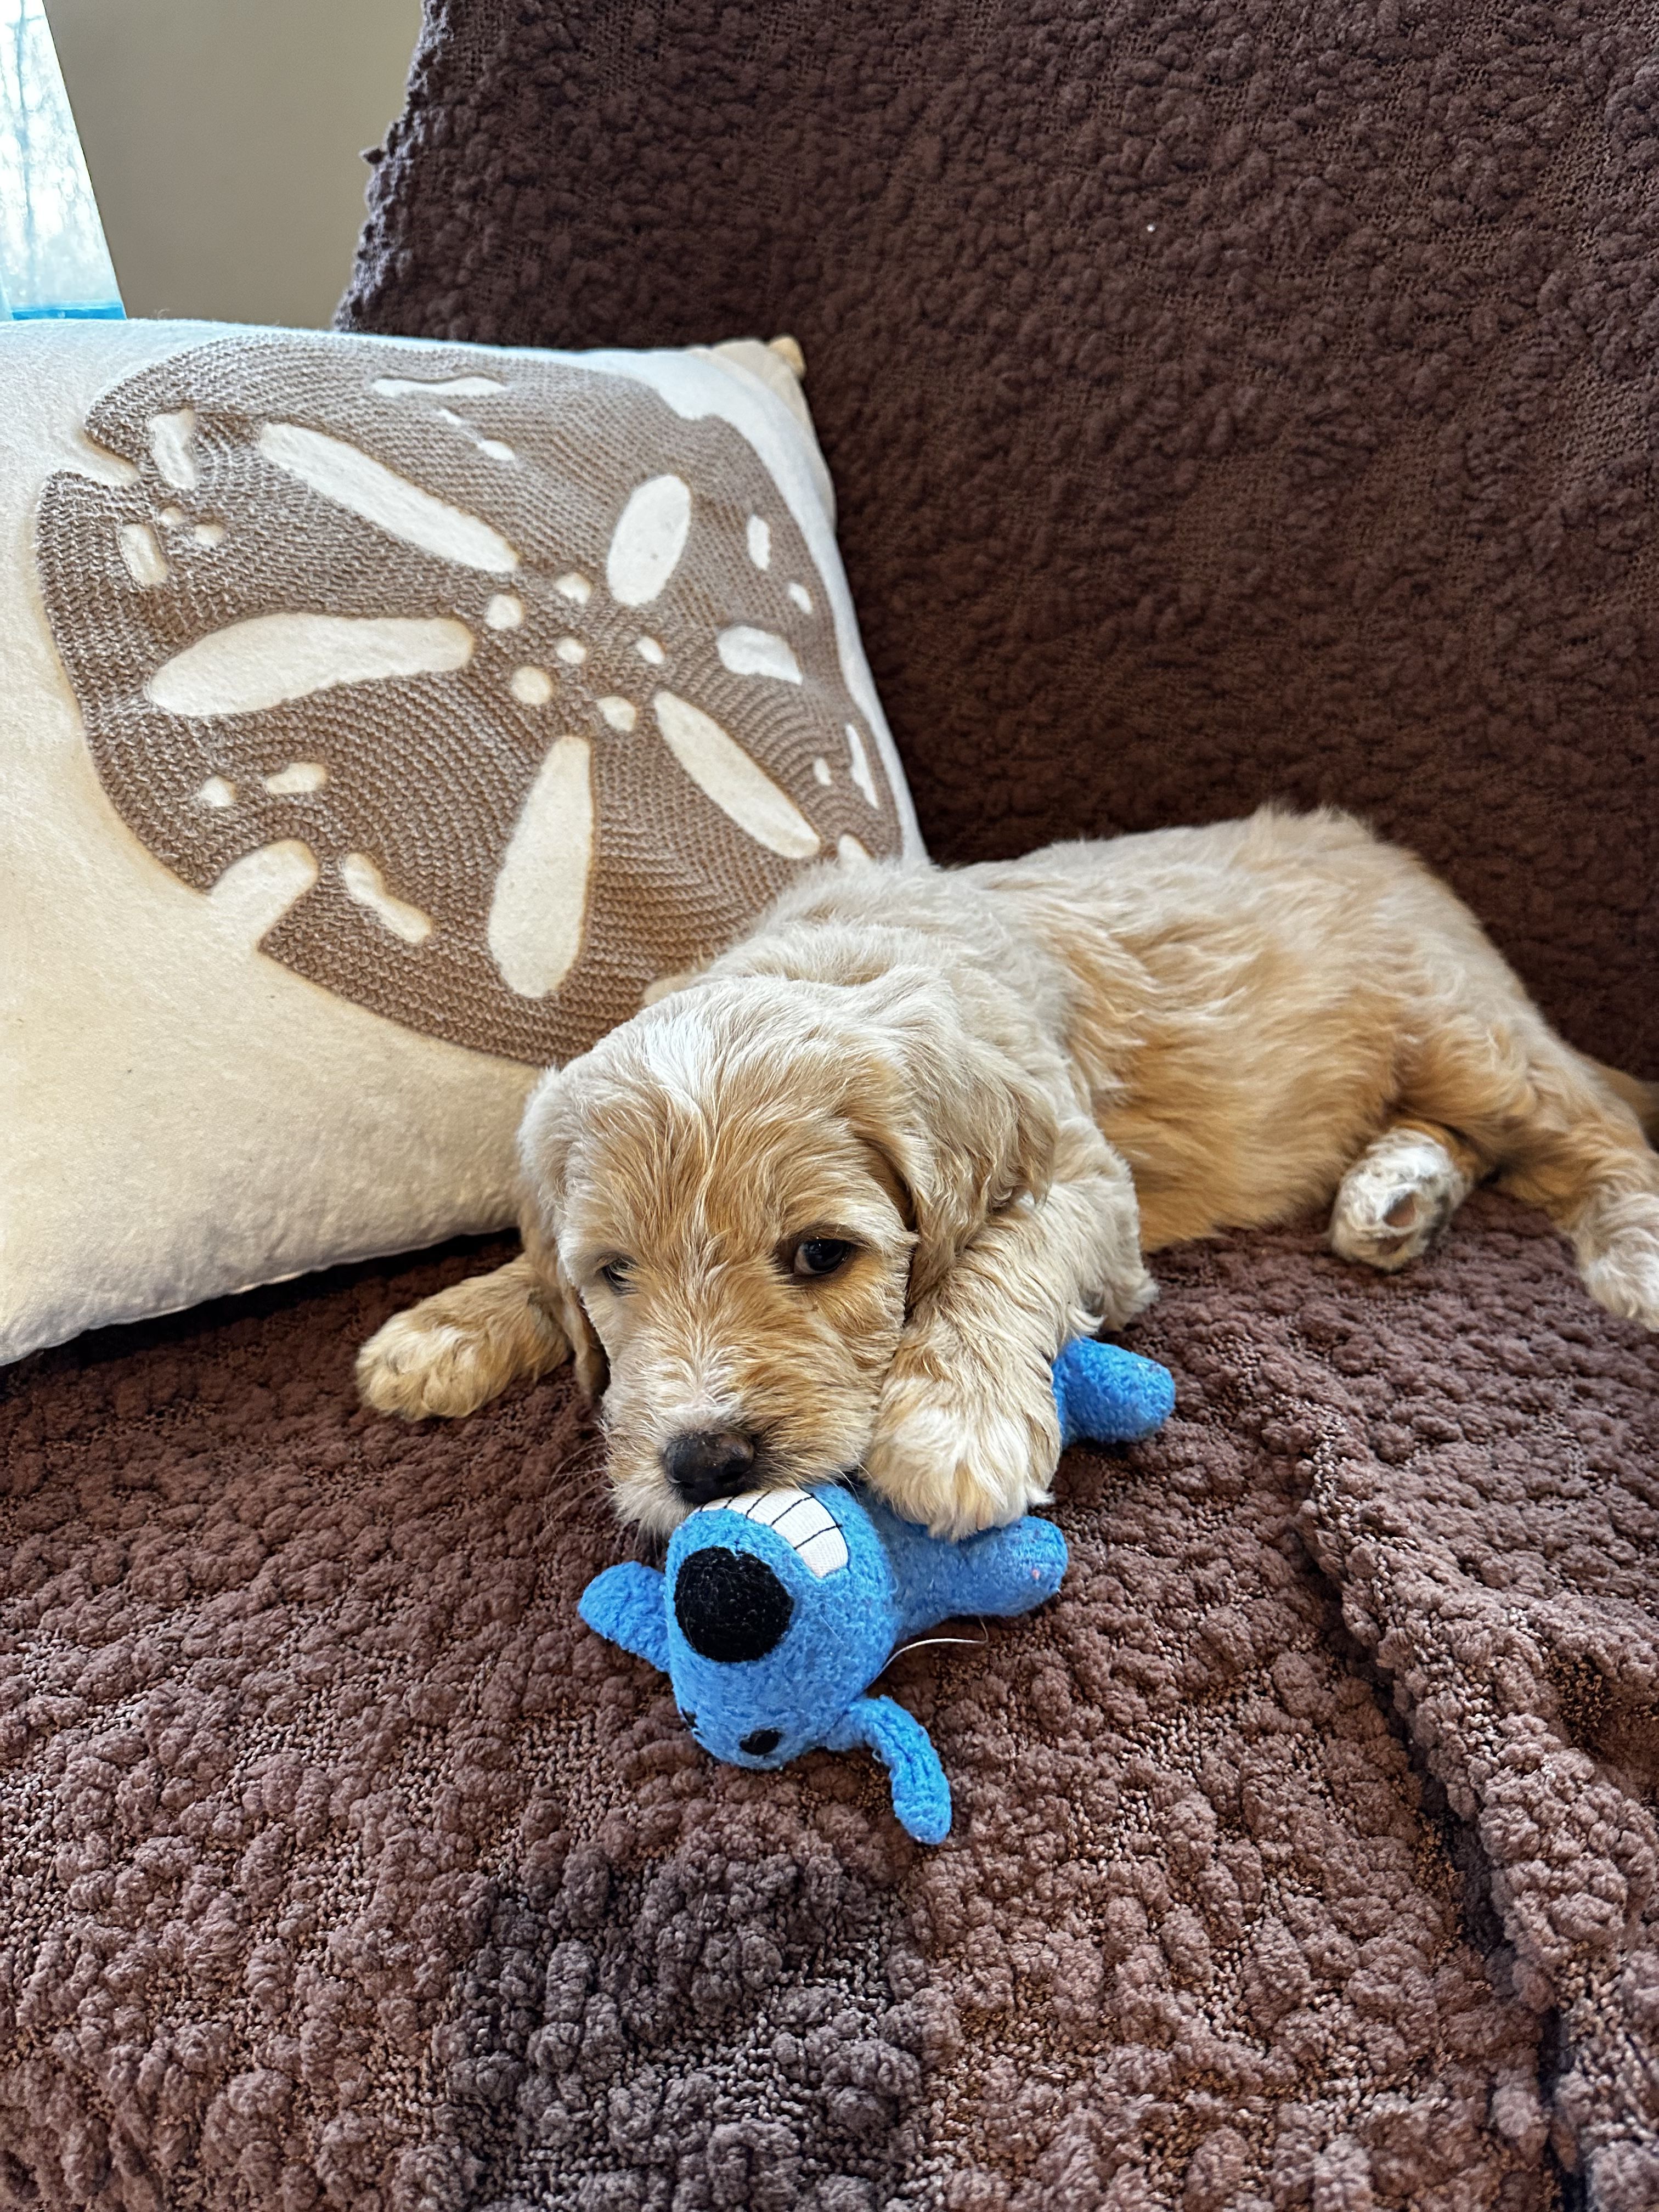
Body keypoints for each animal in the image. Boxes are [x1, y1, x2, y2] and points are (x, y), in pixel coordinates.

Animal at [357, 807, 1659, 1538]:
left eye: (822, 1256)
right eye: (613, 1275)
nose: (706, 1464)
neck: (839, 959)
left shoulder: (1086, 1178)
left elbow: (997, 1255)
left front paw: (953, 1426)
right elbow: (533, 1274)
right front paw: (451, 1322)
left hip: (1462, 1031)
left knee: (1596, 1130)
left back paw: (1633, 1250)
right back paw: (1397, 1191)